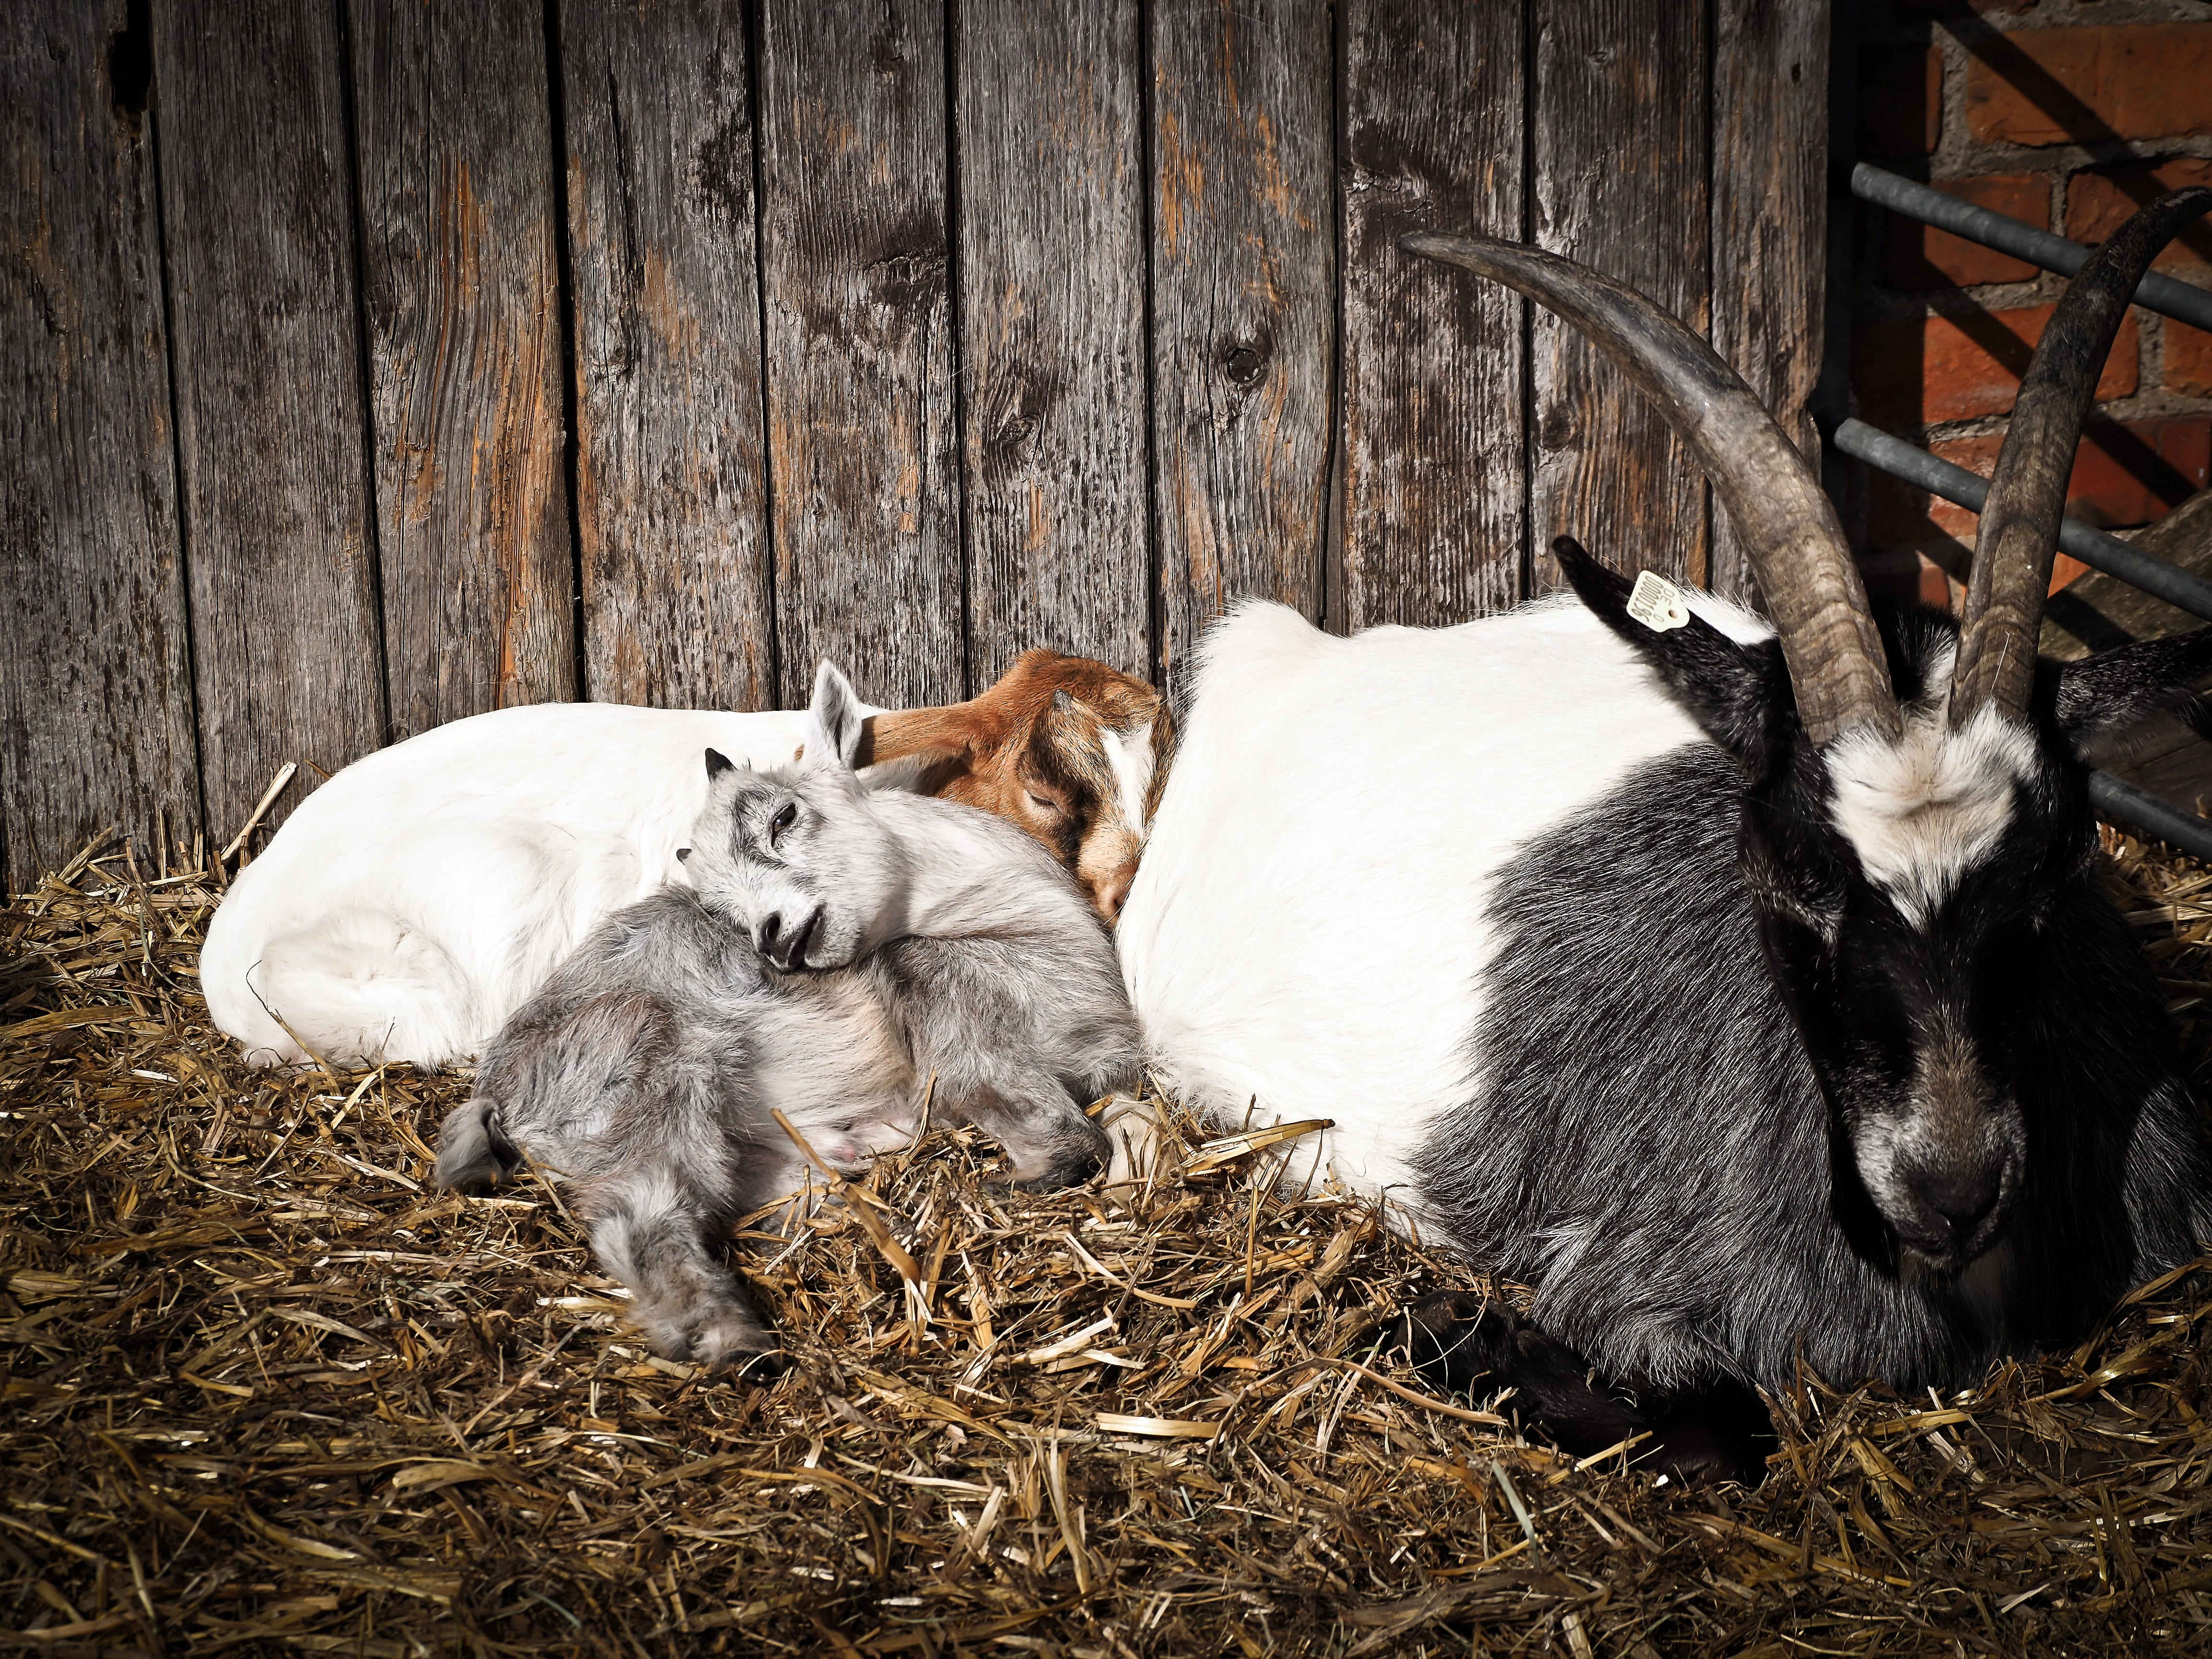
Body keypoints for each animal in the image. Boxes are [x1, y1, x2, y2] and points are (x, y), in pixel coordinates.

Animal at [431, 661, 1138, 1370]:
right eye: (717, 902)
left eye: (785, 814)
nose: (770, 938)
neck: (1022, 925)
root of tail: (497, 1091)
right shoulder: (965, 1024)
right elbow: (1072, 1141)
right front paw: (1004, 1189)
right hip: (639, 1086)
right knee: (640, 1220)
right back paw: (732, 1339)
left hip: (755, 1153)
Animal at [1118, 189, 2212, 1484]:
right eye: (1785, 875)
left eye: (2055, 868)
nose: (1949, 1188)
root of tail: (1283, 652)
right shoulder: (1640, 1270)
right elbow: (1723, 1428)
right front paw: (1452, 1330)